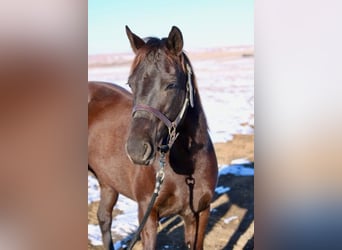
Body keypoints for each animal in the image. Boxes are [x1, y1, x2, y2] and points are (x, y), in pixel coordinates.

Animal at [87, 26, 216, 249]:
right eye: (130, 84)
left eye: (171, 85)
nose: (136, 150)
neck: (187, 167)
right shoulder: (148, 216)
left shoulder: (200, 213)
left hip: (108, 183)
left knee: (104, 217)